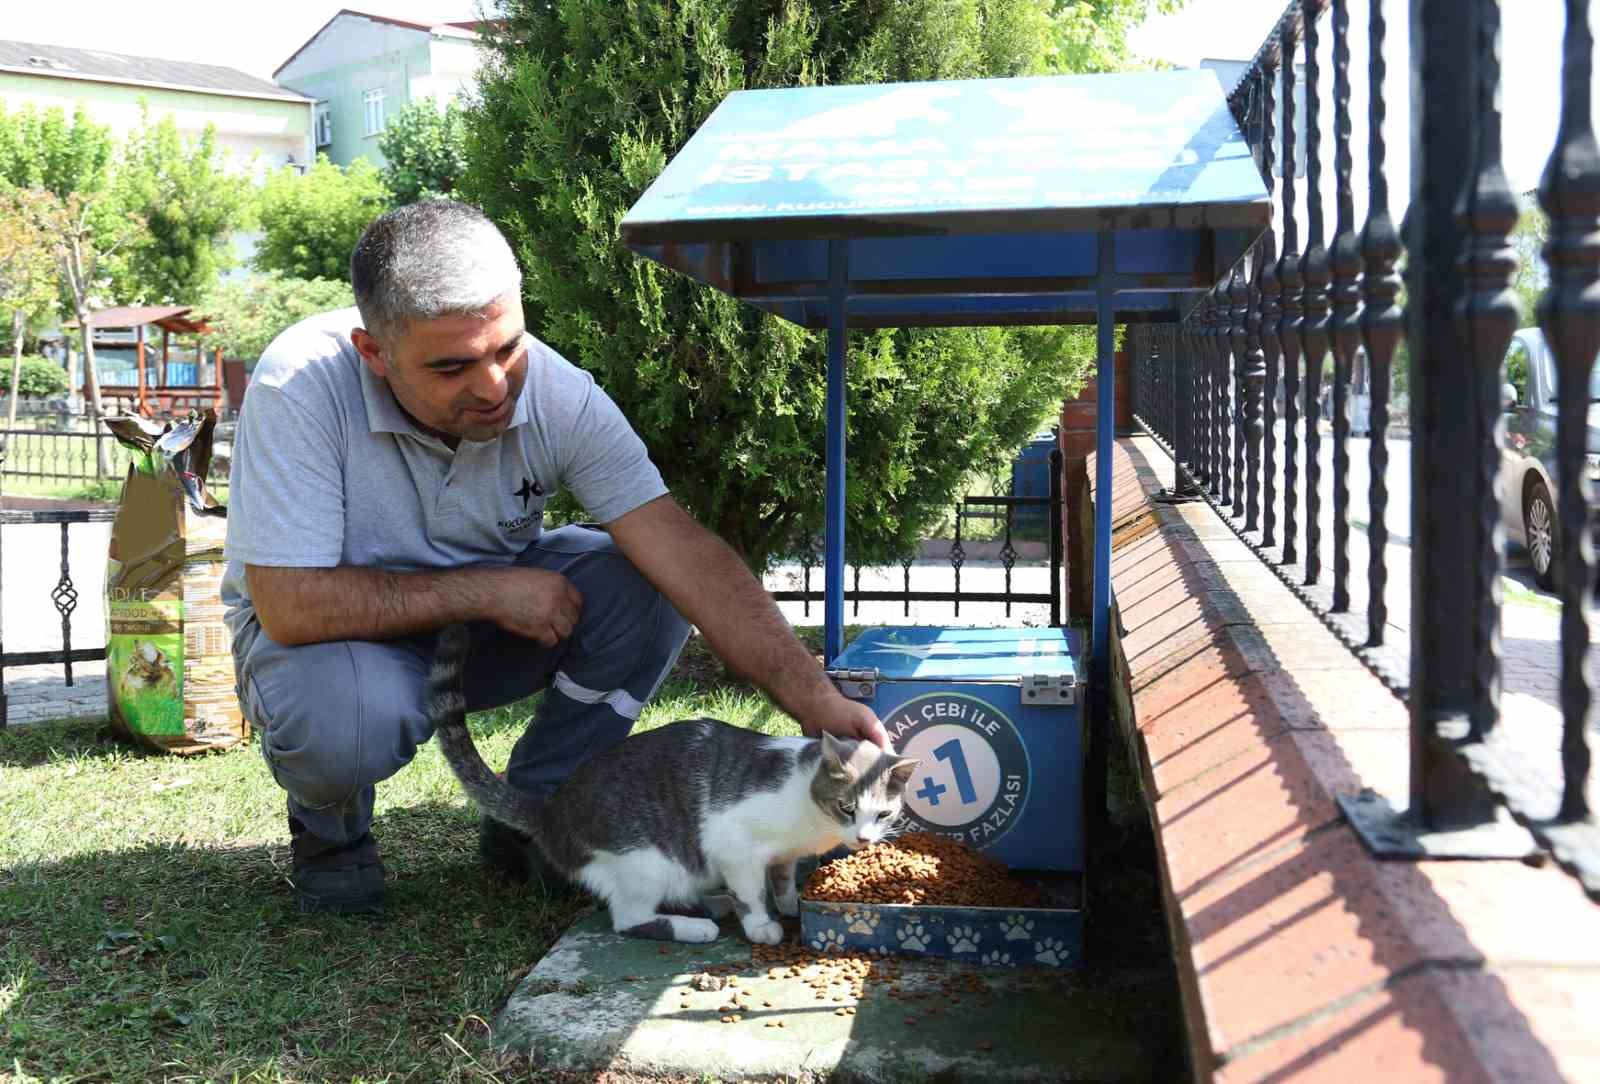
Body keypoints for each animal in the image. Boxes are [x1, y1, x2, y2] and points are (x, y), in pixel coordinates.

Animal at [428, 623, 928, 946]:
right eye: (847, 807)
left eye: (883, 813)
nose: (863, 839)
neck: (807, 809)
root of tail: (550, 808)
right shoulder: (735, 847)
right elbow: (751, 891)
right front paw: (761, 925)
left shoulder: (783, 855)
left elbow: (783, 879)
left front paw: (788, 904)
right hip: (649, 861)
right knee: (629, 919)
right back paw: (698, 926)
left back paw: (711, 905)